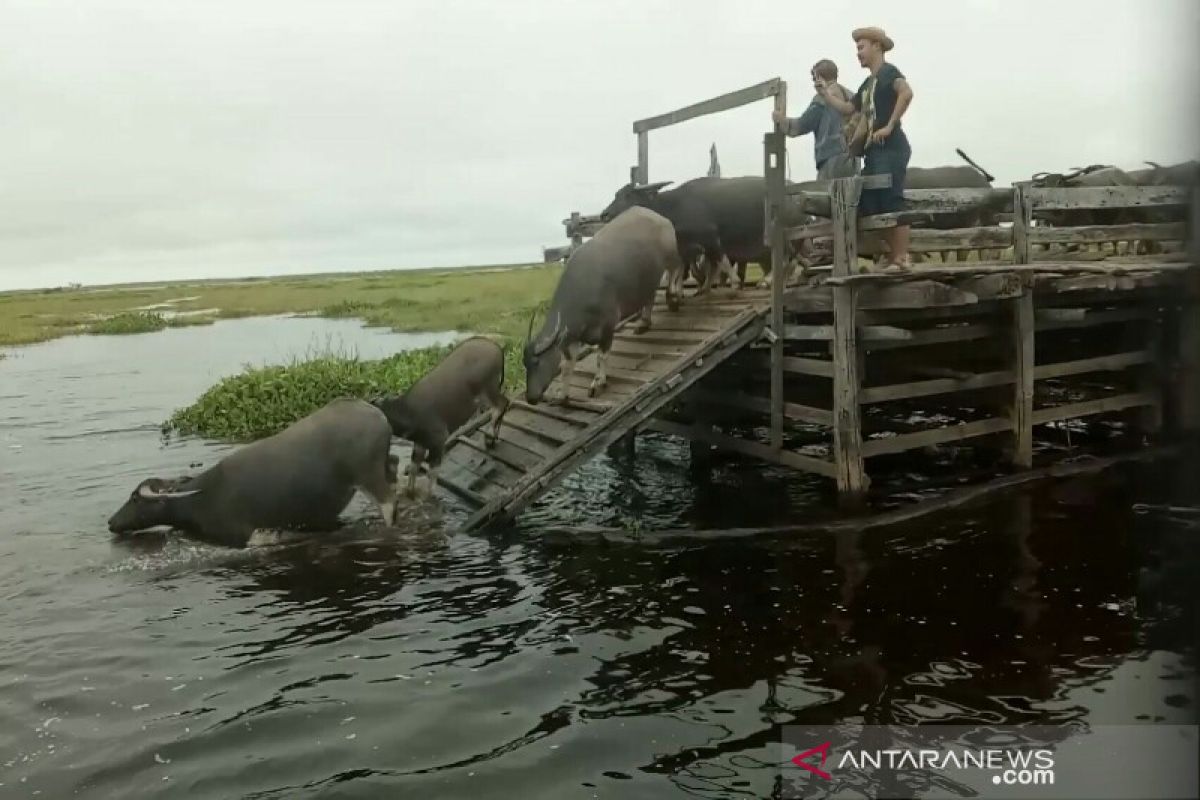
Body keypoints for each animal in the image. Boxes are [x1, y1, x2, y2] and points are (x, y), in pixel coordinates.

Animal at [108, 398, 398, 546]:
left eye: (134, 498)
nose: (111, 522)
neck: (200, 498)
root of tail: (377, 414)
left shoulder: (242, 535)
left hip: (370, 476)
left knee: (388, 504)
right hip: (386, 465)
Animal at [372, 335, 508, 496]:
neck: (409, 413)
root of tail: (496, 347)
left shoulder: (439, 440)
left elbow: (432, 473)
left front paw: (430, 495)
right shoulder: (420, 443)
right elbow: (413, 467)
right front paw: (410, 491)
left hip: (488, 387)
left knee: (502, 404)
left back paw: (489, 435)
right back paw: (492, 439)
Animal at [528, 206, 686, 407]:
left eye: (537, 362)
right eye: (525, 364)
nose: (530, 397)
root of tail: (659, 217)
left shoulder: (607, 329)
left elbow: (600, 357)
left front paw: (598, 383)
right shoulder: (572, 338)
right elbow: (566, 366)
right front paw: (562, 395)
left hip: (672, 255)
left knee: (678, 269)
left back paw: (675, 297)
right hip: (646, 278)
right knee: (649, 297)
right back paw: (644, 322)